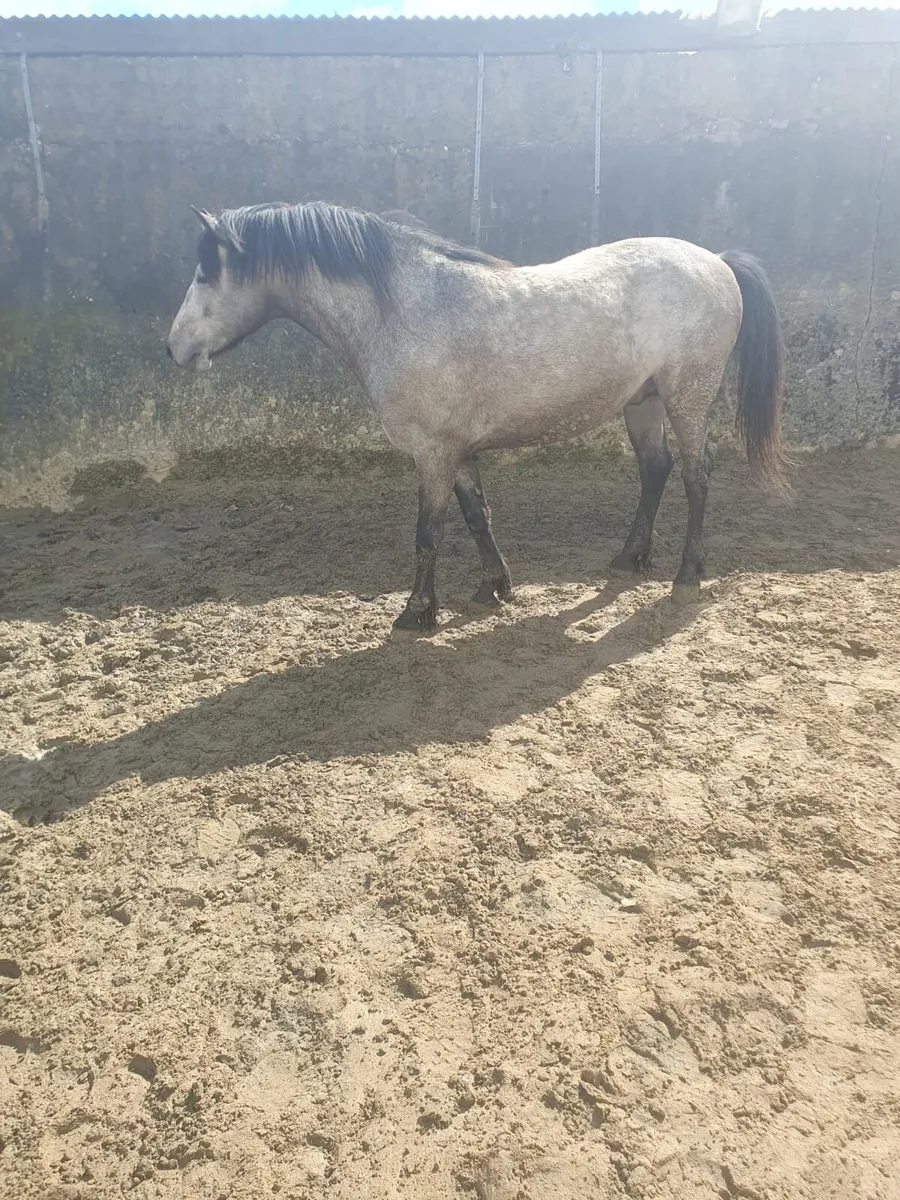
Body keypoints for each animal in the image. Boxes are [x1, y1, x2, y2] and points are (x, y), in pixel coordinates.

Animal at [166, 200, 786, 634]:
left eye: (203, 274)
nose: (173, 348)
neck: (406, 310)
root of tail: (716, 262)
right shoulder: (458, 452)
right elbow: (476, 518)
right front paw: (495, 587)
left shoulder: (433, 453)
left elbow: (428, 533)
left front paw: (417, 612)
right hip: (644, 402)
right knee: (656, 470)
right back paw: (628, 559)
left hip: (688, 396)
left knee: (696, 474)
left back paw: (686, 577)